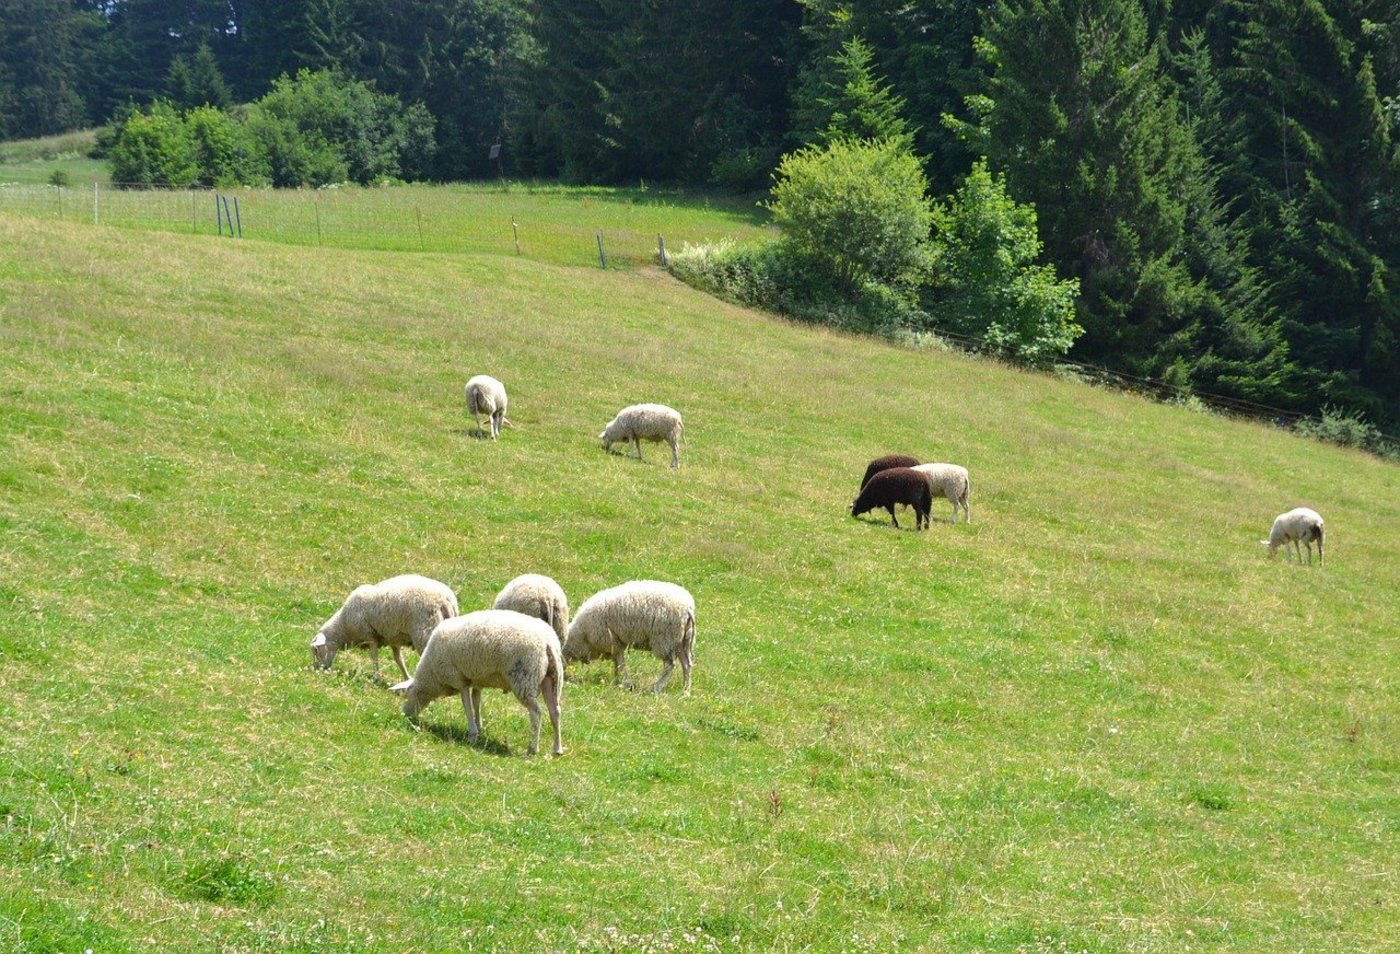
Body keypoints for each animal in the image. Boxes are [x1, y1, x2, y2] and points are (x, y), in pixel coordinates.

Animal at [310, 574, 459, 680]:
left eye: (316, 650)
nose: (317, 669)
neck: (344, 626)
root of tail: (447, 601)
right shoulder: (393, 638)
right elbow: (399, 660)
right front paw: (407, 678)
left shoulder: (369, 635)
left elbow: (374, 657)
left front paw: (376, 677)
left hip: (426, 632)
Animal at [390, 610, 564, 756]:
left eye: (407, 694)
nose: (404, 714)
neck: (431, 674)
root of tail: (548, 641)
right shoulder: (476, 680)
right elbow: (476, 702)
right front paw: (480, 728)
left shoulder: (458, 679)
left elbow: (467, 705)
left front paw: (472, 734)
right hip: (551, 679)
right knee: (555, 711)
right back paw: (557, 748)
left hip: (524, 677)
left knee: (536, 713)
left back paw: (532, 748)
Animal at [564, 580, 695, 694]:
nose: (564, 678)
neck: (582, 636)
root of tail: (688, 607)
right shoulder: (615, 644)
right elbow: (617, 664)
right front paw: (616, 682)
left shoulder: (613, 641)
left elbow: (621, 664)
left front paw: (627, 683)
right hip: (681, 640)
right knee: (686, 664)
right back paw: (686, 691)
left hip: (664, 638)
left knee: (670, 664)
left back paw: (656, 688)